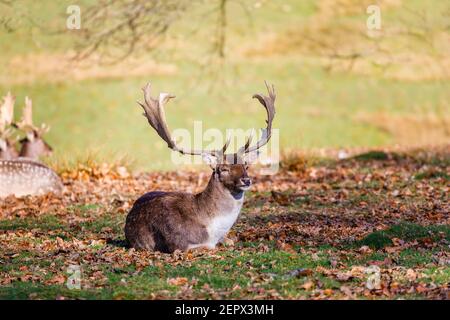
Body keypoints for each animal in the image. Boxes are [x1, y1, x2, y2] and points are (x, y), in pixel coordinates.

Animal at [125, 82, 276, 252]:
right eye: (223, 168)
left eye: (246, 166)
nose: (246, 180)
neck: (213, 230)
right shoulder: (179, 243)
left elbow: (230, 241)